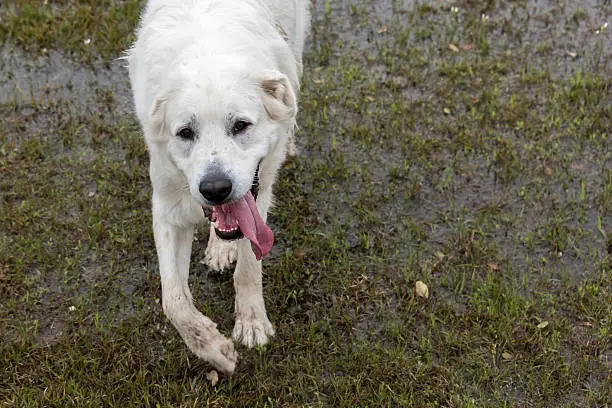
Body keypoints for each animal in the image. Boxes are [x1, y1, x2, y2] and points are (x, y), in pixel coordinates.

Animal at [128, 0, 310, 372]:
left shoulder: (260, 190)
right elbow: (173, 300)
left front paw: (251, 322)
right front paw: (214, 348)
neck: (209, 49)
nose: (215, 189)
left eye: (241, 125)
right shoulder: (167, 207)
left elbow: (250, 265)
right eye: (185, 133)